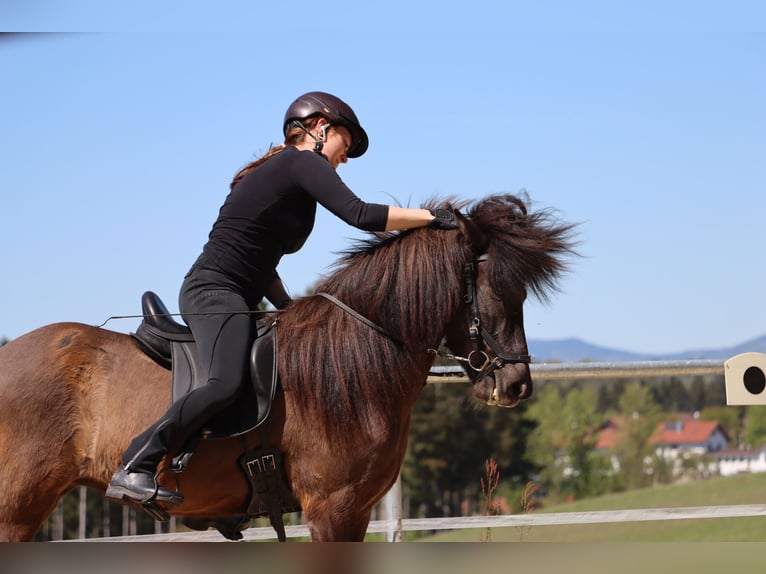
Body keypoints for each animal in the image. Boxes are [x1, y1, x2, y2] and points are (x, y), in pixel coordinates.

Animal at [0, 196, 576, 544]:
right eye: (499, 291)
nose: (516, 384)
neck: (353, 365)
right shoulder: (332, 509)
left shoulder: (355, 512)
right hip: (14, 510)